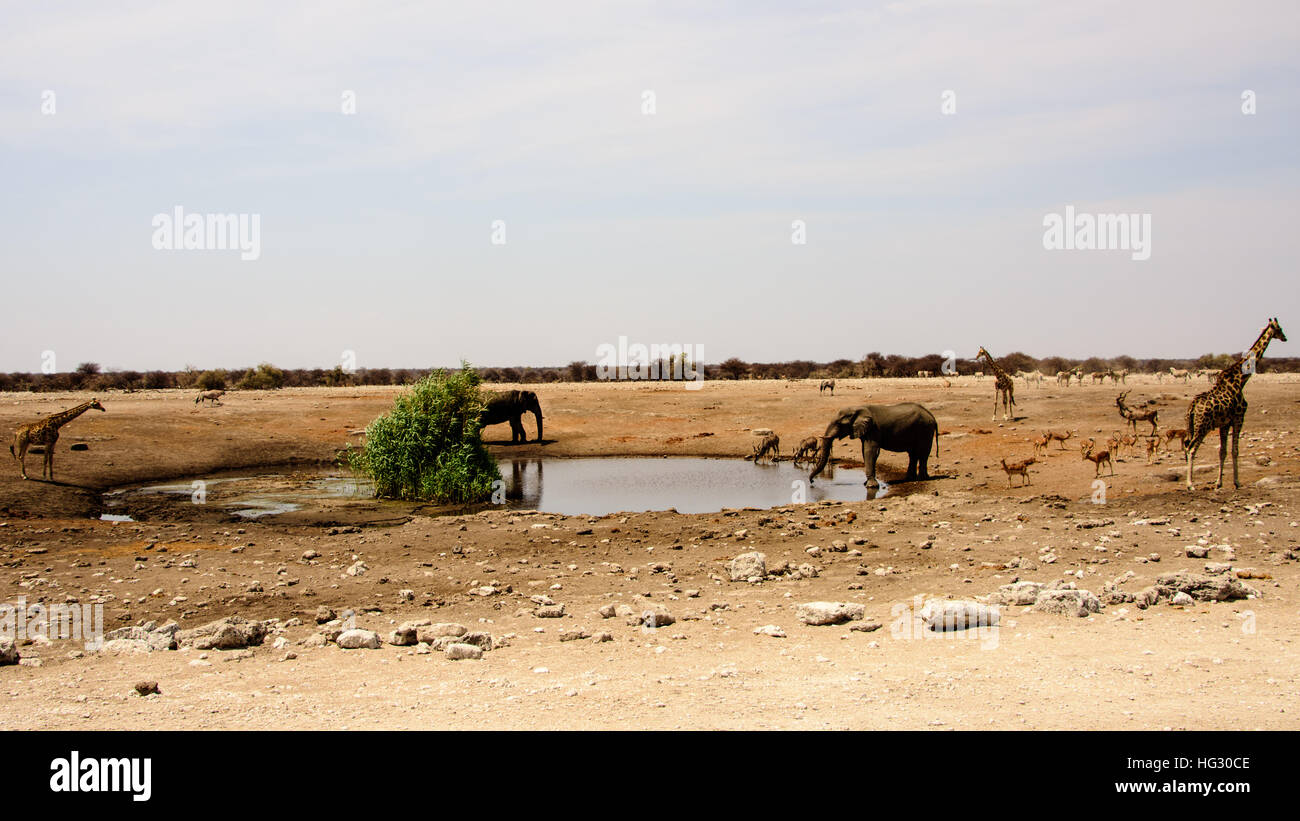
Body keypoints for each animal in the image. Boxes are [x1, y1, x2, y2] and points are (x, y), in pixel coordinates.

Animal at [806, 405, 941, 488]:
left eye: (839, 423)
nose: (812, 481)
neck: (857, 408)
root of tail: (932, 416)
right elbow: (864, 451)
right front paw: (866, 484)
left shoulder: (873, 429)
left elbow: (870, 451)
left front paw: (871, 486)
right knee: (913, 454)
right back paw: (910, 478)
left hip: (925, 429)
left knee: (922, 453)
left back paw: (922, 479)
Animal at [1185, 316, 1284, 491]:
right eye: (1279, 329)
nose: (1285, 337)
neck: (1241, 378)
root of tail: (1192, 408)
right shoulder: (1239, 418)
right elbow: (1235, 451)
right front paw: (1237, 482)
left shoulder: (1224, 424)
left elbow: (1223, 452)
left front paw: (1219, 483)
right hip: (1202, 427)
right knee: (1191, 449)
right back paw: (1190, 484)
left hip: (1192, 426)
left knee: (1187, 447)